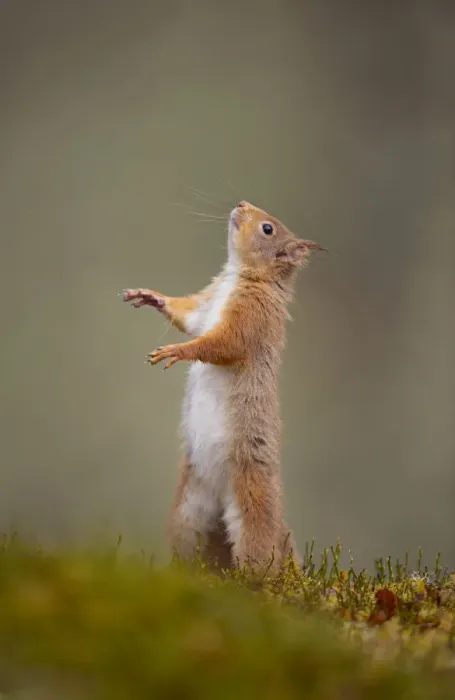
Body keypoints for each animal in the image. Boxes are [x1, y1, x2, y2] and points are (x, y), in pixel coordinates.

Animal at [121, 200, 326, 572]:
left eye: (268, 229)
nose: (242, 203)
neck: (237, 276)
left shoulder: (251, 319)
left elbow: (221, 344)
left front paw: (178, 351)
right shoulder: (204, 308)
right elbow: (189, 319)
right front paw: (153, 297)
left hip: (251, 502)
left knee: (261, 555)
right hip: (188, 510)